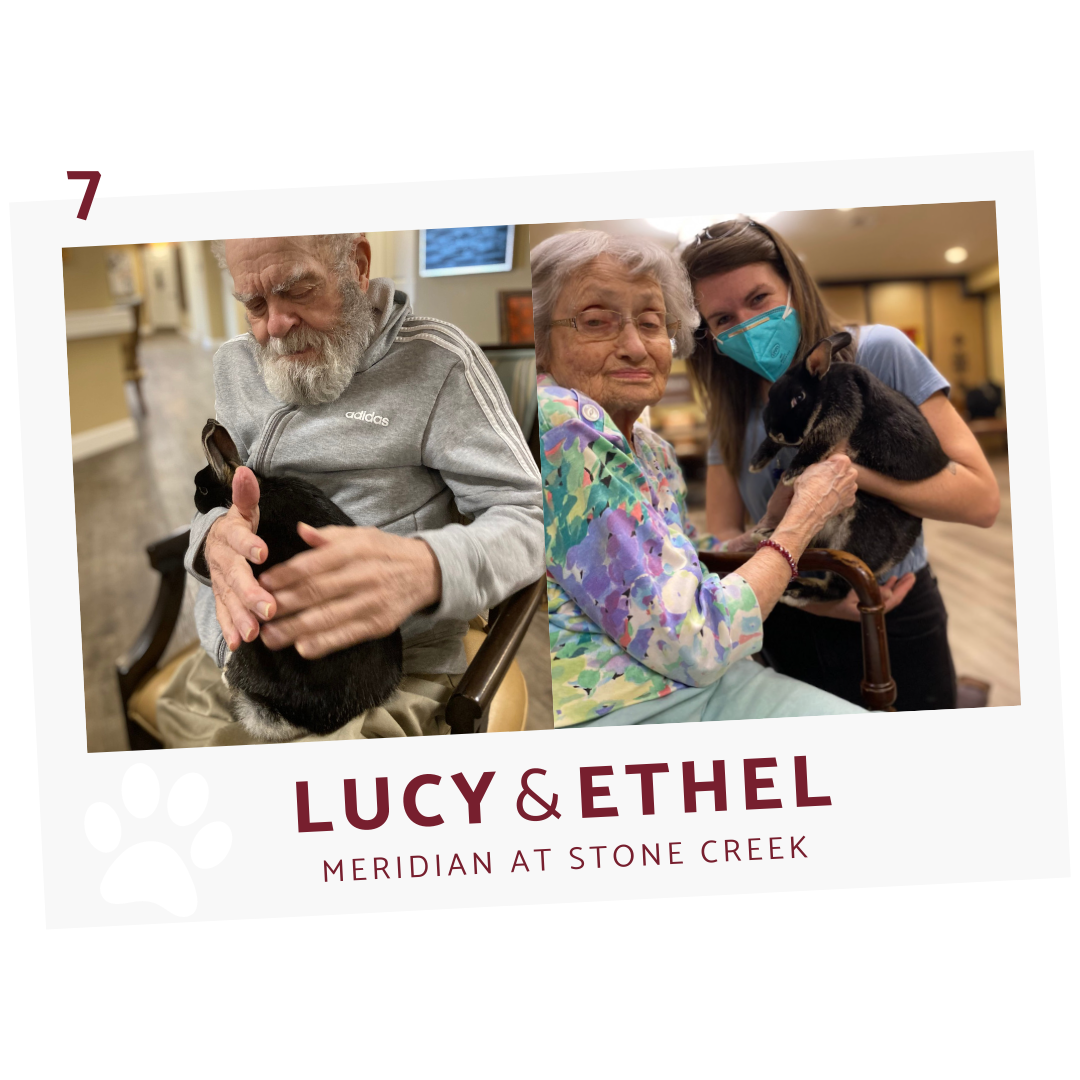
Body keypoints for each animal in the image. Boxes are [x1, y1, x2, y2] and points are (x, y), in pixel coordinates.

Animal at [747, 328, 950, 604]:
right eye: (770, 396)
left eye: (799, 397)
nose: (777, 432)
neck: (824, 389)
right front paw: (756, 461)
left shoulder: (843, 407)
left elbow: (817, 438)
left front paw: (792, 472)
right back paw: (766, 535)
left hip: (857, 536)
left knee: (837, 589)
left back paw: (796, 589)